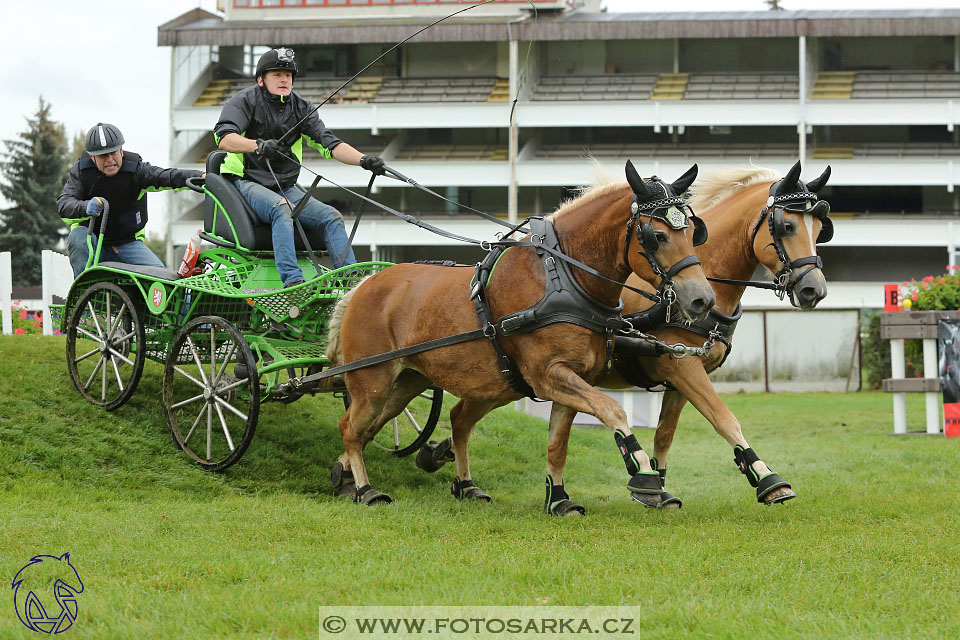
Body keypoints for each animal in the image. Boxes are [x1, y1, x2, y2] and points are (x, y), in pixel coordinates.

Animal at [326, 162, 716, 508]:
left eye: (693, 232)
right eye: (658, 235)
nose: (703, 299)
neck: (562, 278)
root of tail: (361, 285)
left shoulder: (573, 377)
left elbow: (557, 445)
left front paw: (558, 498)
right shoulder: (549, 375)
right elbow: (613, 409)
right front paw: (644, 475)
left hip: (414, 382)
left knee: (397, 424)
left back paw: (361, 477)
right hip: (372, 380)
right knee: (351, 427)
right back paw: (364, 488)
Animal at [600, 161, 832, 510]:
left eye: (820, 229)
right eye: (787, 226)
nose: (814, 290)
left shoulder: (681, 376)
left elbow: (665, 433)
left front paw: (657, 487)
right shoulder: (681, 367)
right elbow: (724, 418)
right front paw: (766, 477)